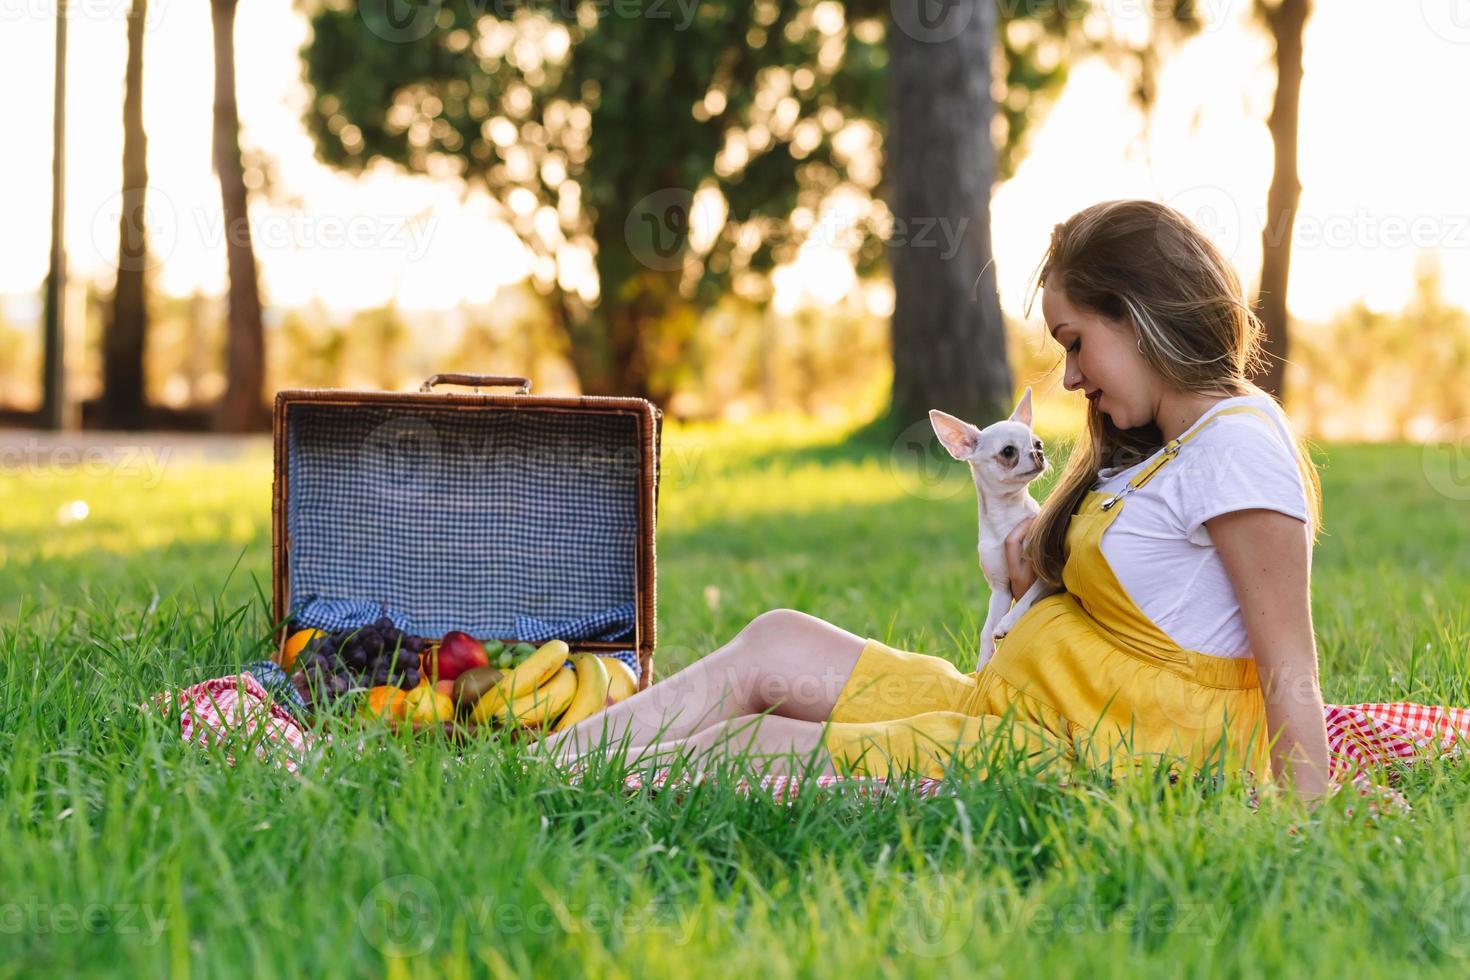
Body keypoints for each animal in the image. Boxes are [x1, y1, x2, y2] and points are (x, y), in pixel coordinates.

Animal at [929, 387, 1058, 669]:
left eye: (1038, 444)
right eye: (1008, 451)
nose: (1039, 453)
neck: (1006, 516)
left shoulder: (1050, 574)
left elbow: (1028, 597)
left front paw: (1008, 622)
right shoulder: (1000, 588)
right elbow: (986, 630)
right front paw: (982, 665)